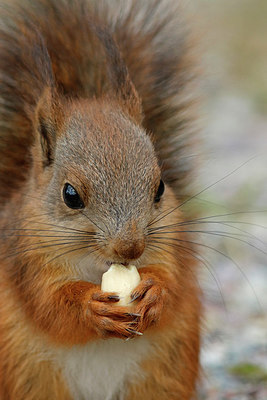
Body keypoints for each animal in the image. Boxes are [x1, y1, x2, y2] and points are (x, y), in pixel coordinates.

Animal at [0, 1, 201, 398]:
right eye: (70, 195)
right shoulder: (25, 260)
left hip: (160, 377)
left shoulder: (172, 247)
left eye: (160, 187)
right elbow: (49, 304)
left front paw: (156, 291)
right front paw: (89, 307)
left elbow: (171, 281)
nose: (130, 248)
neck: (95, 266)